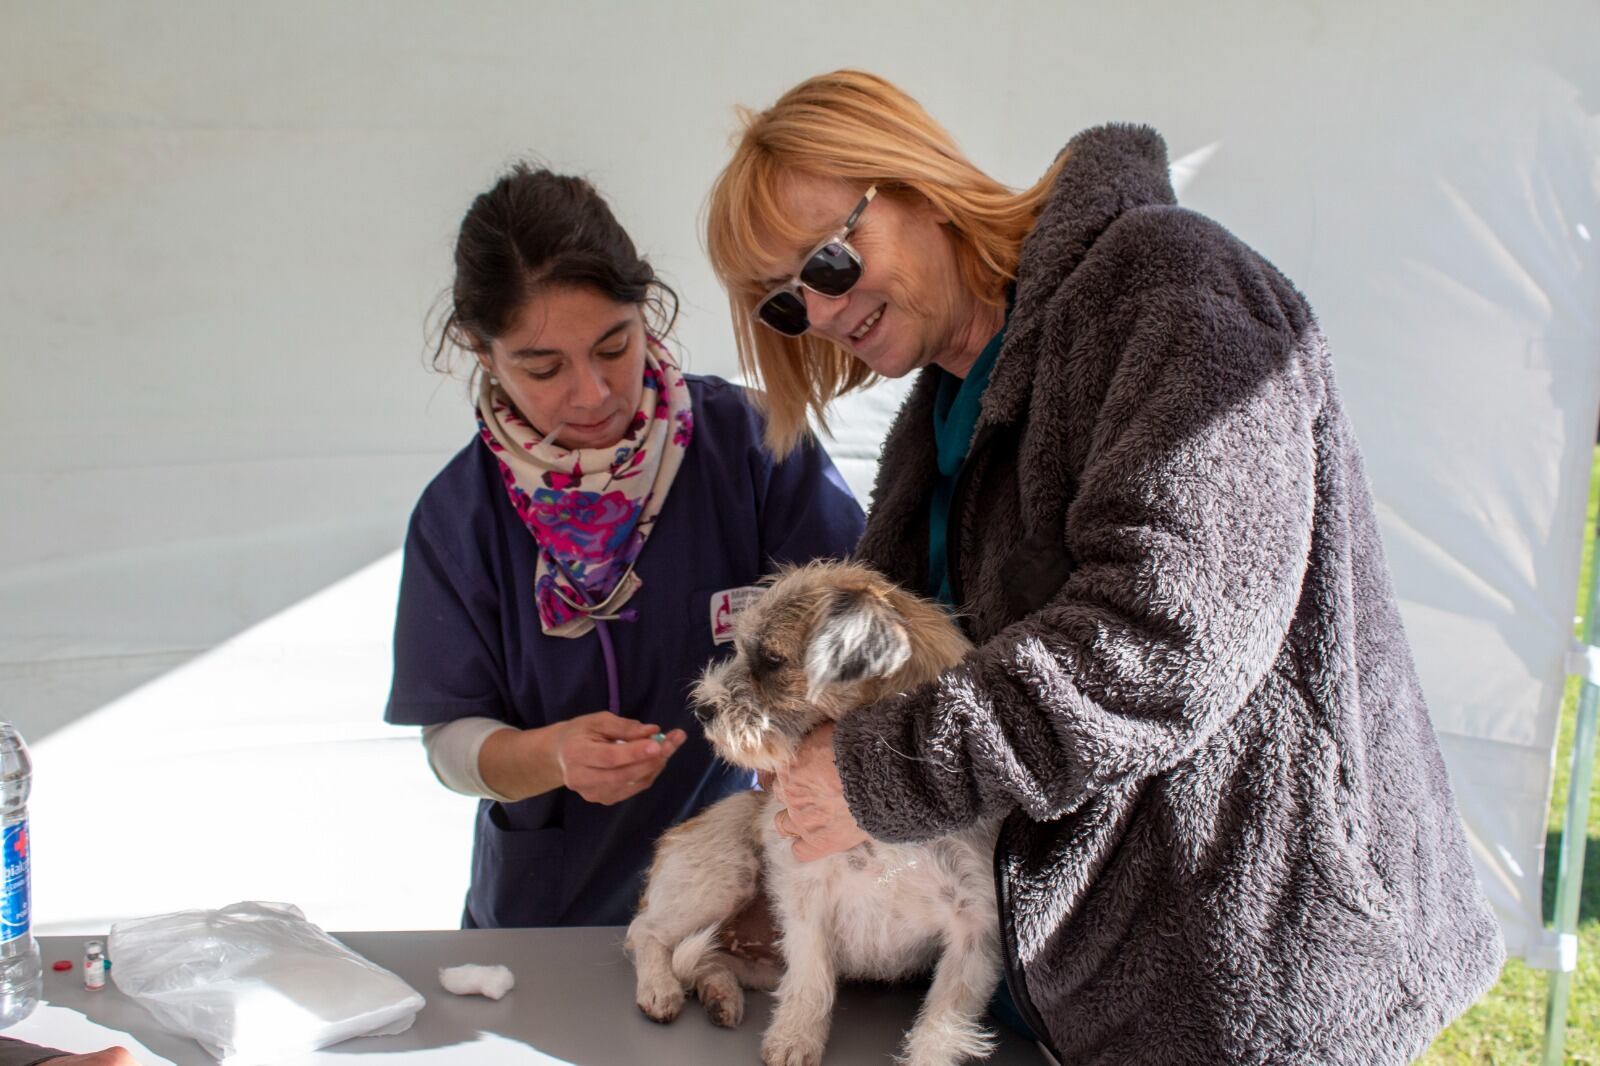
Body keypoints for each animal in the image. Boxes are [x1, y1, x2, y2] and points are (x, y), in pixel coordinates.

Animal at [624, 560, 998, 1062]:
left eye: (772, 660)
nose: (701, 708)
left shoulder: (974, 931)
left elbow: (943, 1025)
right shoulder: (806, 897)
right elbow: (810, 978)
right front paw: (794, 1039)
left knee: (704, 958)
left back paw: (719, 994)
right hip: (726, 872)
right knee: (645, 931)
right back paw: (659, 988)